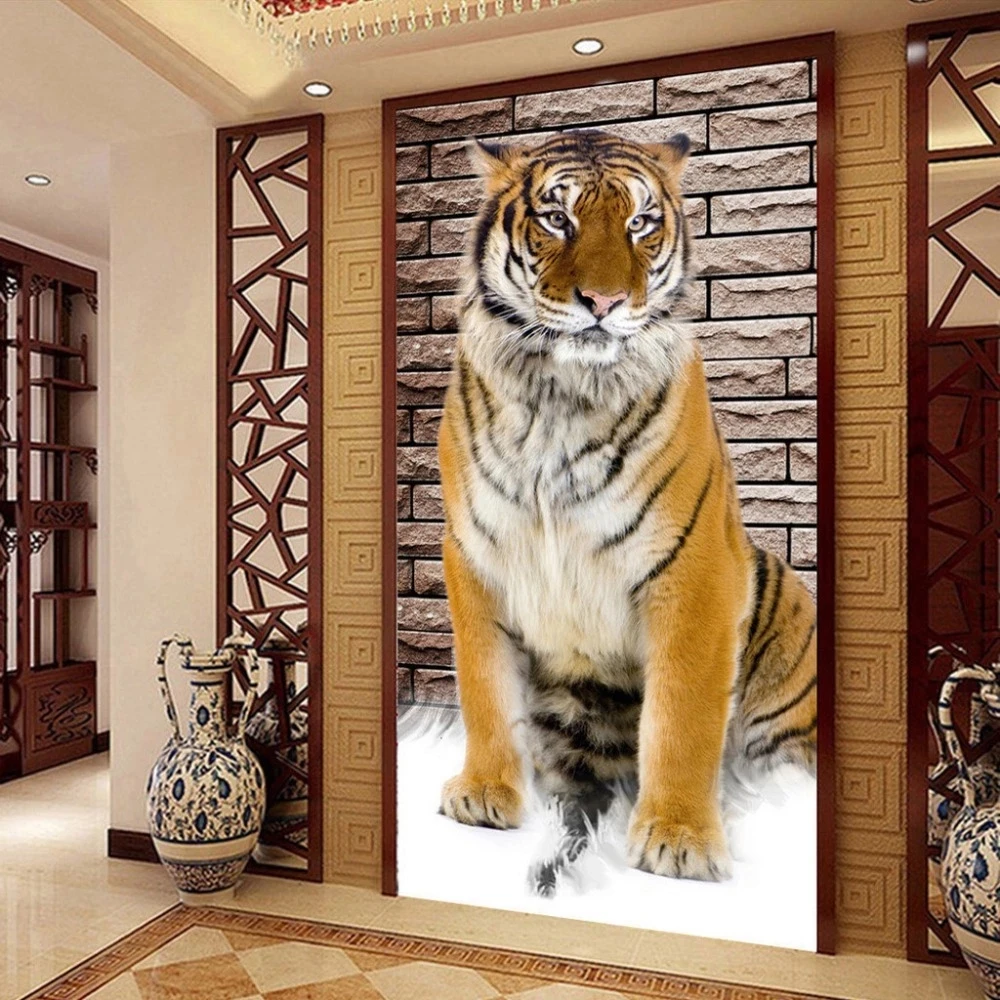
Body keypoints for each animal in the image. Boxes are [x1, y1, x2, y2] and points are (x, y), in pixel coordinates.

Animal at [436, 129, 817, 886]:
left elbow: (684, 714)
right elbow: (485, 688)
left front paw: (679, 838)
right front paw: (487, 793)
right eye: (557, 219)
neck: (559, 394)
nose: (605, 302)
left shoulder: (695, 570)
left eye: (641, 223)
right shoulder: (476, 559)